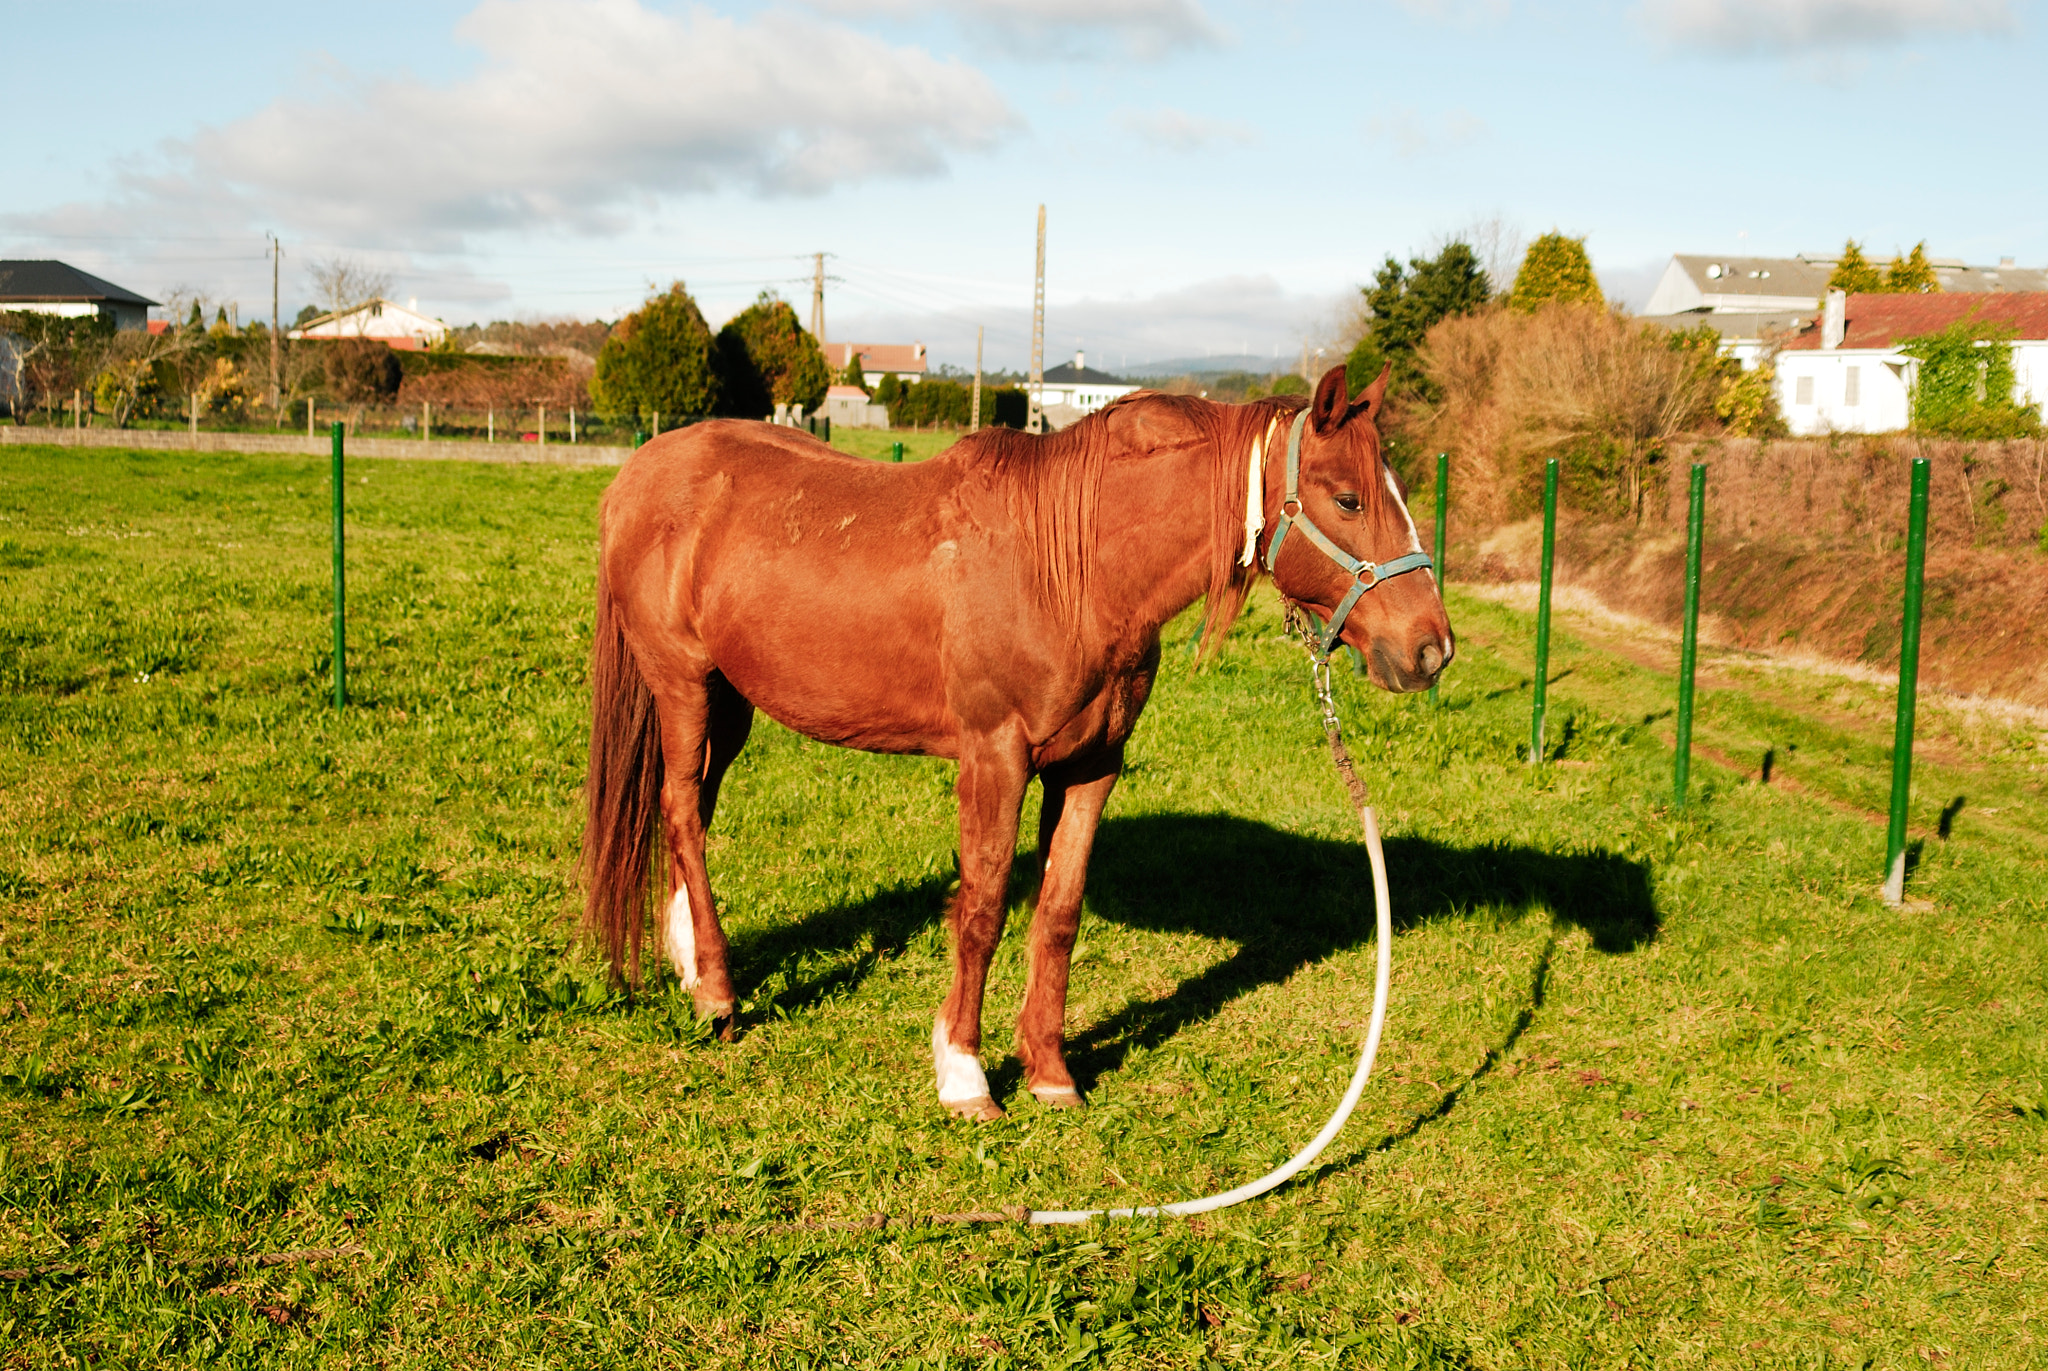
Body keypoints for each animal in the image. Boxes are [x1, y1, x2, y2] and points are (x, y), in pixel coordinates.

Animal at [581, 366, 1458, 1123]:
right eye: (1347, 498)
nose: (1431, 649)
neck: (1072, 567)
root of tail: (636, 475)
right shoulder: (994, 758)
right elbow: (984, 908)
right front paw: (964, 1071)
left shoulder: (1090, 767)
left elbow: (1059, 910)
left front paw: (1049, 1071)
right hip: (684, 686)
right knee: (682, 812)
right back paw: (719, 996)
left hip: (730, 703)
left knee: (688, 810)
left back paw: (693, 964)